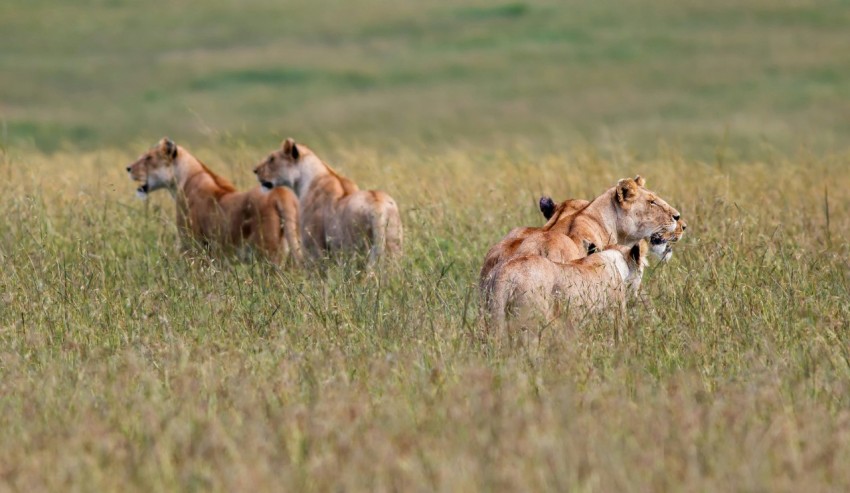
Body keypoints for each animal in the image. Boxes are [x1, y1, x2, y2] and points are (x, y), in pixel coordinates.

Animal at [124, 136, 300, 264]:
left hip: (268, 254)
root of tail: (281, 194)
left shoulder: (192, 245)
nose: (128, 168)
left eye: (148, 158)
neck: (183, 180)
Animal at [252, 136, 400, 268]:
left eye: (271, 159)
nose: (255, 170)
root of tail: (378, 207)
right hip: (392, 246)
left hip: (356, 249)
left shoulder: (314, 246)